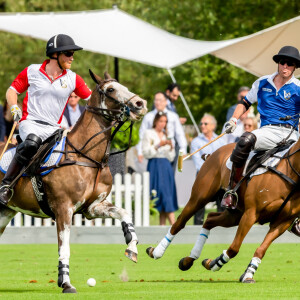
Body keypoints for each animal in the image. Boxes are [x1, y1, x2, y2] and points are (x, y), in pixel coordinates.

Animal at [0, 71, 147, 292]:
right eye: (111, 89)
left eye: (124, 86)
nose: (140, 103)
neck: (87, 157)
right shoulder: (64, 208)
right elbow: (65, 248)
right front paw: (66, 282)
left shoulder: (93, 207)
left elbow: (124, 213)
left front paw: (132, 247)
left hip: (6, 212)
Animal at [146, 137, 300, 282]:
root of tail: (214, 153)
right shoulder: (251, 213)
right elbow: (234, 247)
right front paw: (216, 263)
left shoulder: (282, 222)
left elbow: (261, 250)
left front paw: (247, 274)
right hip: (200, 197)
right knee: (180, 222)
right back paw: (157, 251)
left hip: (235, 214)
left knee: (209, 219)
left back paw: (189, 260)